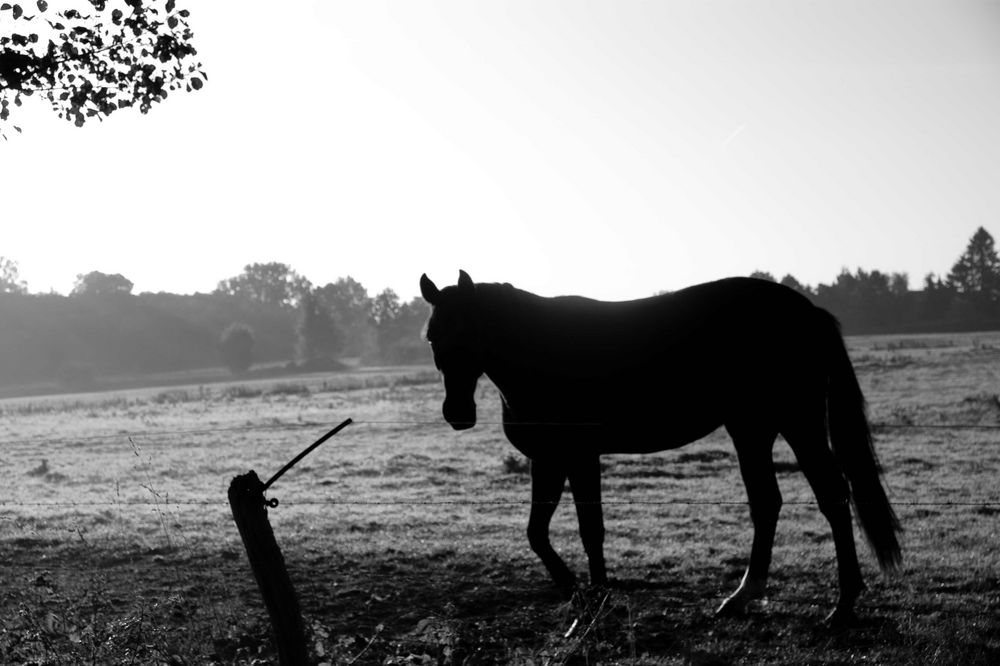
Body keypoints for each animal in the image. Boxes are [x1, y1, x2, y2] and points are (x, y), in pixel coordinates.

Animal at [418, 270, 904, 624]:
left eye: (468, 330)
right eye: (432, 336)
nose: (457, 412)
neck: (541, 354)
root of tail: (806, 311)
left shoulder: (580, 456)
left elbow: (590, 529)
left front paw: (598, 599)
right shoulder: (549, 459)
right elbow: (537, 533)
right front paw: (579, 595)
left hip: (797, 424)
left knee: (832, 495)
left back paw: (842, 605)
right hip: (752, 430)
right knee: (767, 503)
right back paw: (742, 597)